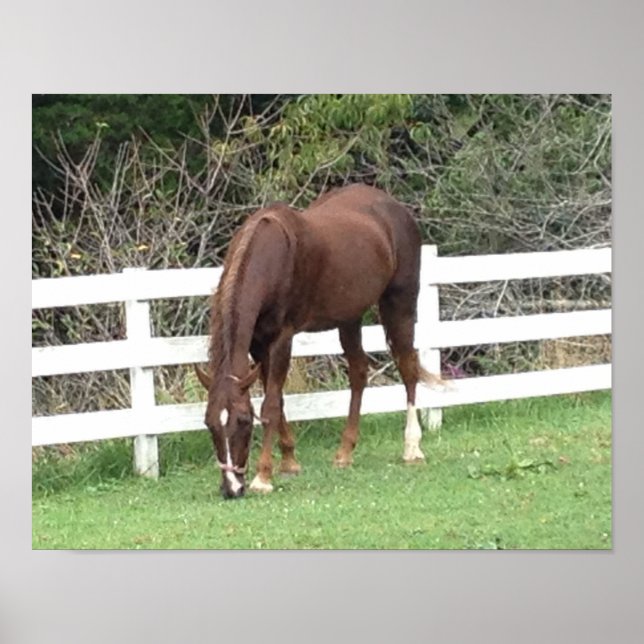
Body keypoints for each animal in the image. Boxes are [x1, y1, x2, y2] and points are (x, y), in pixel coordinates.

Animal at [195, 183, 443, 499]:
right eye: (209, 423)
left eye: (242, 421)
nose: (232, 488)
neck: (271, 256)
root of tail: (396, 207)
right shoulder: (258, 344)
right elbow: (277, 400)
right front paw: (289, 461)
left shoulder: (281, 339)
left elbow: (270, 406)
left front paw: (263, 477)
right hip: (350, 317)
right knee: (359, 373)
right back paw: (345, 452)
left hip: (399, 304)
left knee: (408, 369)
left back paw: (412, 448)